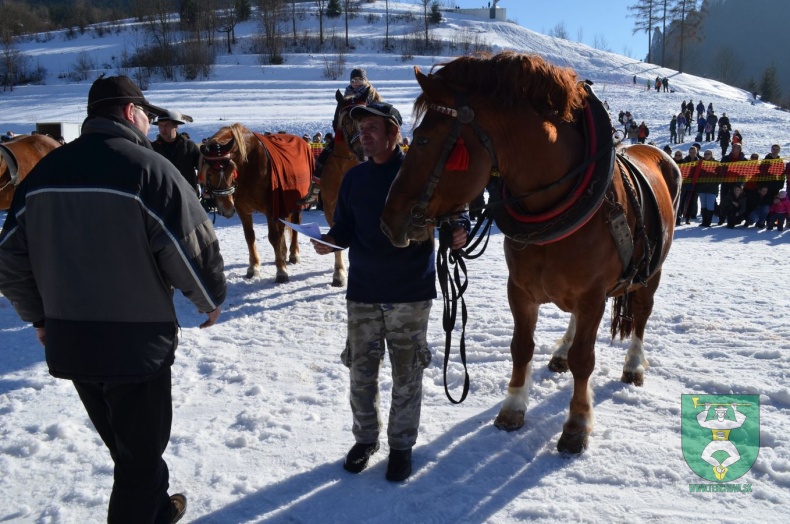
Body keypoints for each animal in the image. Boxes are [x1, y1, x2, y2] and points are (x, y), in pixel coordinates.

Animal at [201, 124, 316, 282]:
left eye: (232, 169)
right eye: (210, 173)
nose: (227, 209)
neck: (249, 166)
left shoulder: (270, 209)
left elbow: (274, 237)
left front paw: (281, 271)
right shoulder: (243, 209)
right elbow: (249, 237)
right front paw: (253, 268)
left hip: (295, 204)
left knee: (295, 225)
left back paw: (293, 254)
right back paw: (283, 252)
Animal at [382, 54, 680, 454]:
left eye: (425, 139)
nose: (388, 221)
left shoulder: (592, 294)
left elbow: (585, 360)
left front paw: (577, 425)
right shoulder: (521, 290)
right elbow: (521, 347)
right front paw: (513, 407)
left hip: (651, 273)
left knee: (642, 314)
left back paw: (633, 365)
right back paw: (560, 353)